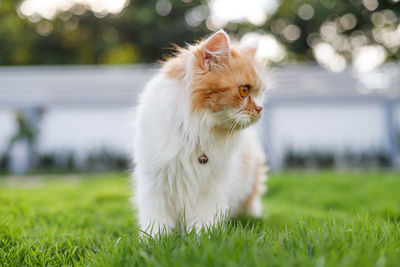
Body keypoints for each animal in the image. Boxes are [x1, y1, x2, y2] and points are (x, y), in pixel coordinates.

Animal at [133, 28, 268, 234]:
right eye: (244, 91)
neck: (196, 132)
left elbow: (204, 223)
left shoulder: (212, 187)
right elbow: (157, 223)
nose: (260, 109)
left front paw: (202, 238)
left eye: (261, 93)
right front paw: (156, 240)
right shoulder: (155, 183)